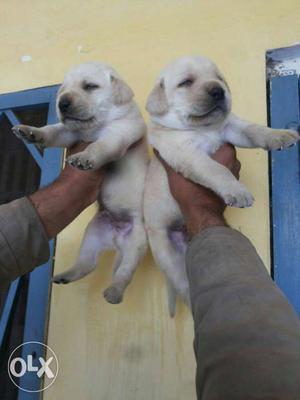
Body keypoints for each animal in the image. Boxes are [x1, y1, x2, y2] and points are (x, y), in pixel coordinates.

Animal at [12, 62, 149, 304]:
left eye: (90, 86)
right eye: (63, 90)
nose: (62, 103)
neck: (95, 126)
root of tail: (116, 239)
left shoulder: (119, 132)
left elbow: (100, 146)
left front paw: (85, 158)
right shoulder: (69, 133)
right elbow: (53, 130)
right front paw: (31, 132)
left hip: (136, 244)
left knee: (124, 273)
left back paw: (114, 292)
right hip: (92, 236)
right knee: (87, 264)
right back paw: (65, 276)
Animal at [144, 55, 298, 316]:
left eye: (219, 78)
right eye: (186, 82)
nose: (218, 90)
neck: (203, 129)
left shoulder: (232, 128)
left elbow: (254, 129)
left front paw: (280, 135)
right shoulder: (188, 154)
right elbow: (217, 170)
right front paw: (238, 191)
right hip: (165, 250)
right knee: (184, 285)